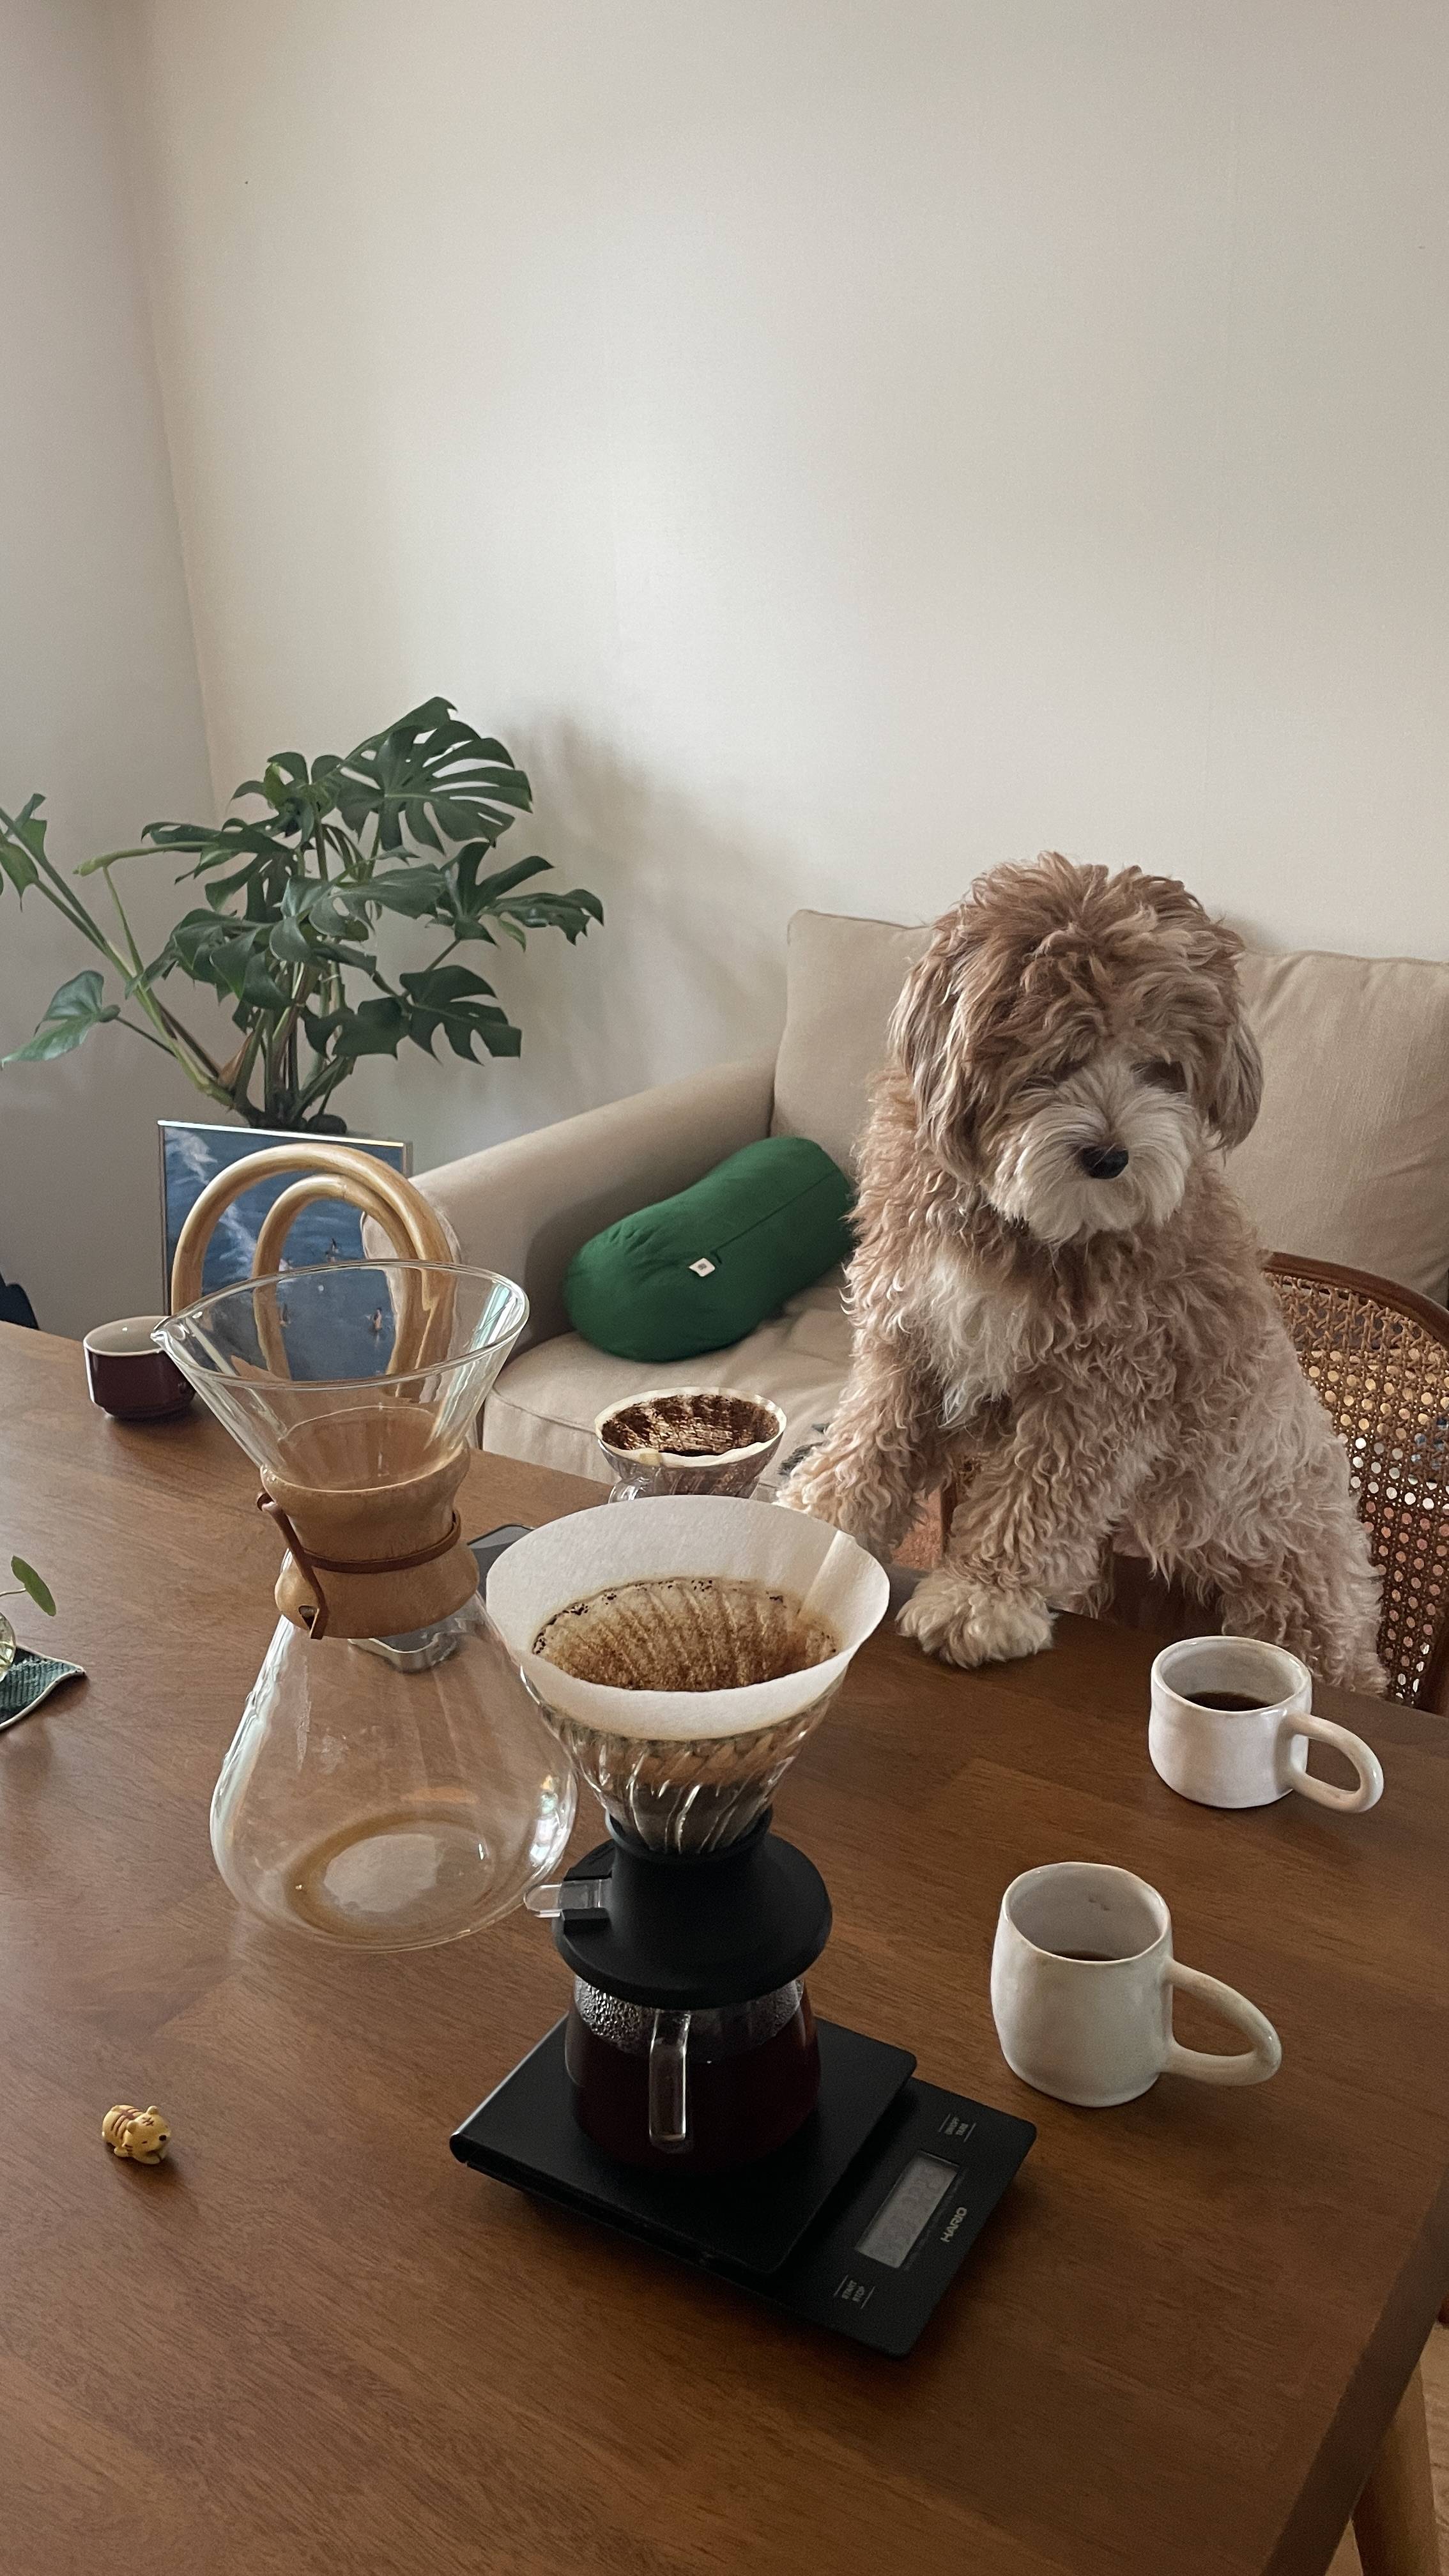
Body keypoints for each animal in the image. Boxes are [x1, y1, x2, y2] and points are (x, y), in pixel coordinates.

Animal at [783, 855, 1382, 1700]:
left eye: (1161, 1069)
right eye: (1055, 1061)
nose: (1110, 1156)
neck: (1020, 1223)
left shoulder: (1101, 1388)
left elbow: (1036, 1499)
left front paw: (981, 1599)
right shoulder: (911, 1341)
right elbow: (868, 1441)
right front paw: (816, 1517)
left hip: (1288, 1588)